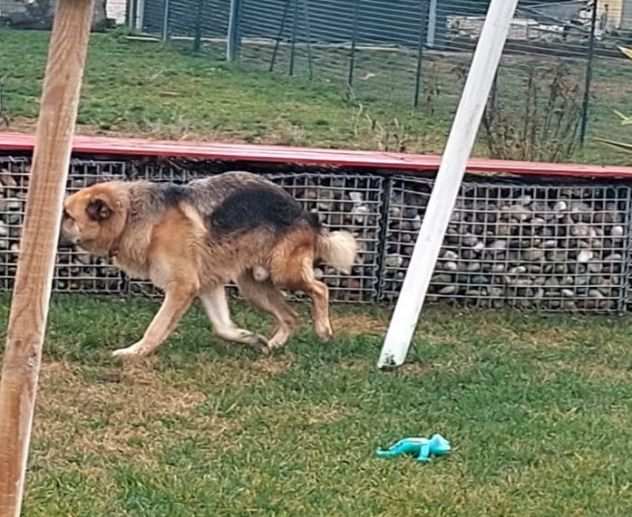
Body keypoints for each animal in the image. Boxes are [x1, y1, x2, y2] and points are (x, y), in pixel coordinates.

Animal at [61, 171, 358, 356]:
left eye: (68, 215)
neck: (129, 216)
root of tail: (304, 212)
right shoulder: (208, 286)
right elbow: (222, 327)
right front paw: (250, 338)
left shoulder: (183, 287)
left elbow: (156, 328)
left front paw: (133, 353)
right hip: (254, 287)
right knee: (290, 315)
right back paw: (272, 345)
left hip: (284, 272)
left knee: (320, 289)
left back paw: (323, 330)